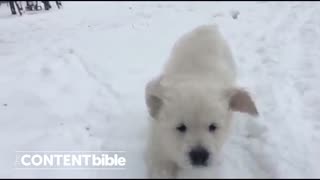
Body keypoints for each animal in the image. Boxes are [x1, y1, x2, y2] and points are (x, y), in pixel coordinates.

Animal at [144, 24, 258, 179]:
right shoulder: (158, 143)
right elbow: (161, 166)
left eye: (213, 127)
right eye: (181, 127)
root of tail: (208, 27)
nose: (199, 155)